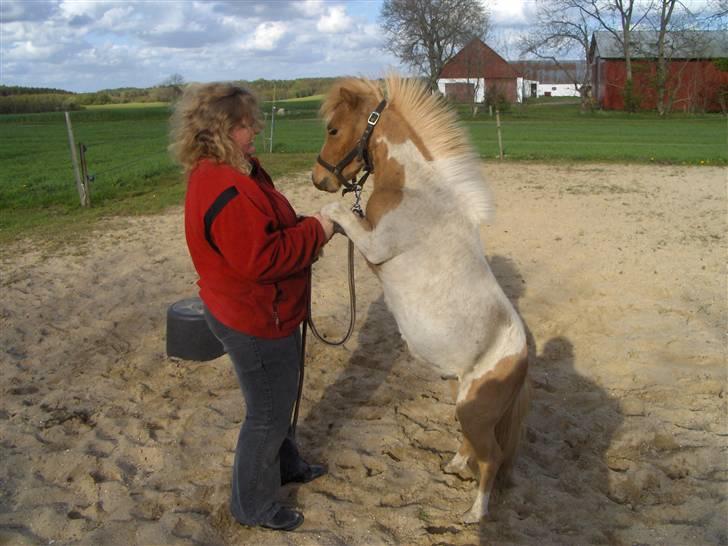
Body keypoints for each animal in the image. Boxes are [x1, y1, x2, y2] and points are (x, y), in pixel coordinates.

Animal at [312, 74, 528, 520]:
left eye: (333, 130)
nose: (318, 178)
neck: (412, 188)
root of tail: (523, 360)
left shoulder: (373, 245)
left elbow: (336, 215)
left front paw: (322, 213)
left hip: (474, 411)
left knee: (492, 457)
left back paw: (474, 514)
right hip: (460, 398)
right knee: (470, 445)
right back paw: (454, 466)